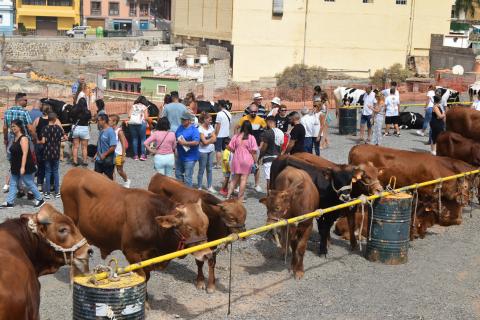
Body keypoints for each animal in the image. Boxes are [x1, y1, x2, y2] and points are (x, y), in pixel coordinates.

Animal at [61, 168, 211, 282]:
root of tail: (73, 171)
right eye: (189, 228)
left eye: (206, 225)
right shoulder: (131, 252)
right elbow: (142, 276)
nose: (207, 254)